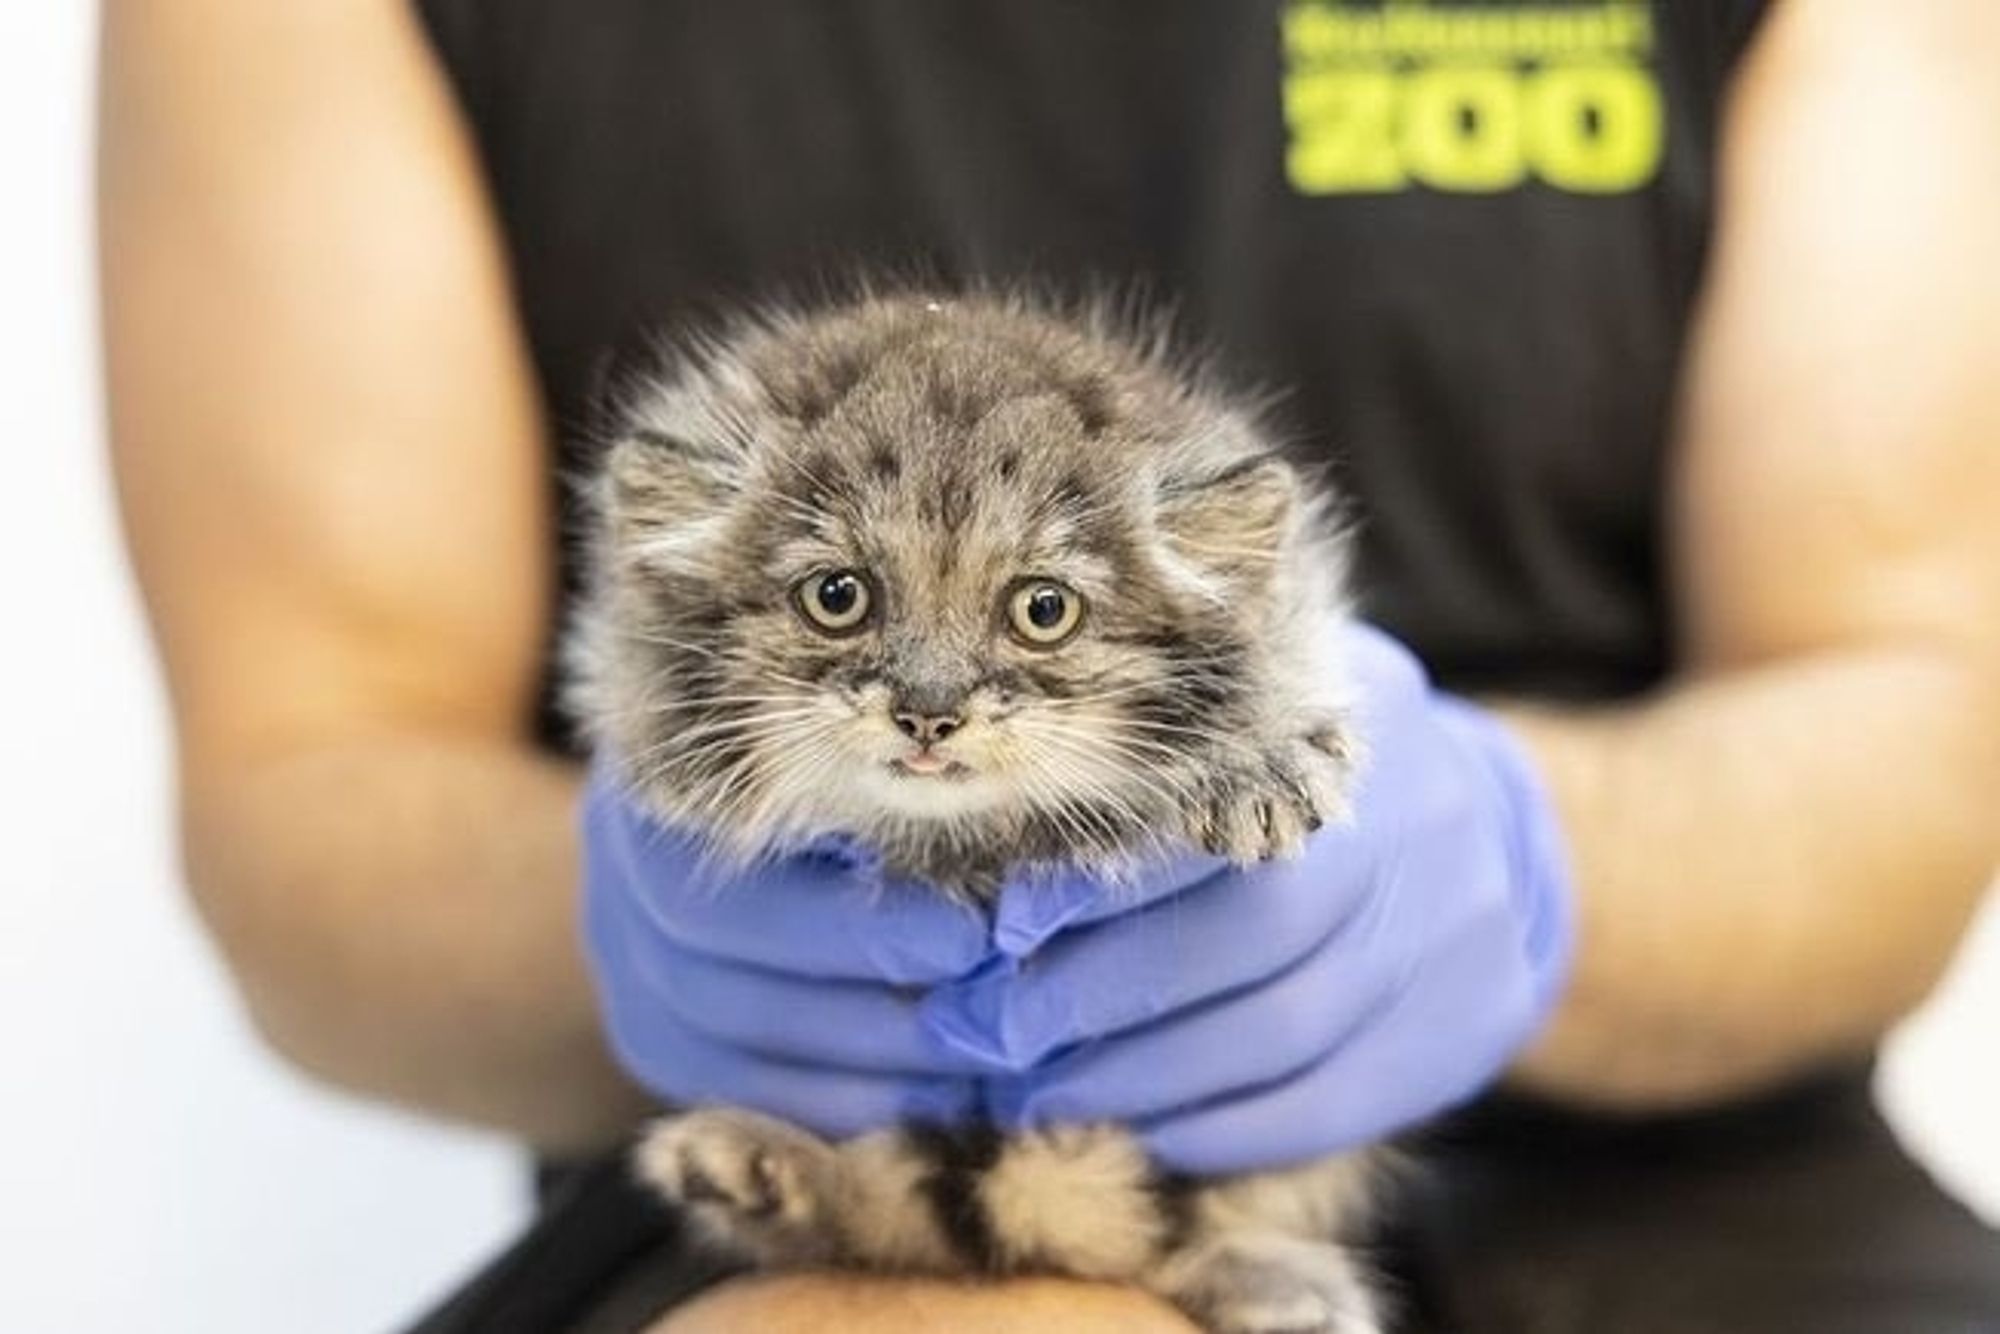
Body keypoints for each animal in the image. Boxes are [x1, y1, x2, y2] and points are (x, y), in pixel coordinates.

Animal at [560, 298, 1392, 1334]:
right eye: (838, 596)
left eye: (1043, 609)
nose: (928, 710)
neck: (966, 845)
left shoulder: (1292, 601)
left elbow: (1286, 664)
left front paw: (1259, 755)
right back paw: (761, 1171)